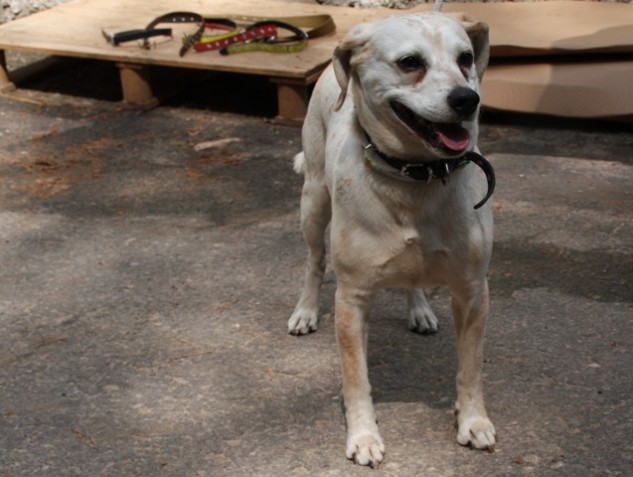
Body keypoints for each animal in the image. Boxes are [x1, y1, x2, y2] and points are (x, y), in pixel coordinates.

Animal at [288, 11, 495, 468]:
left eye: (465, 58)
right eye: (410, 62)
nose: (466, 99)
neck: (416, 176)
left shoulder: (473, 290)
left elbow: (471, 367)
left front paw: (473, 421)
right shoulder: (351, 299)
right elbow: (356, 378)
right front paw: (363, 436)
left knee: (412, 281)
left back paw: (419, 310)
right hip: (313, 201)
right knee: (313, 261)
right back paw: (305, 311)